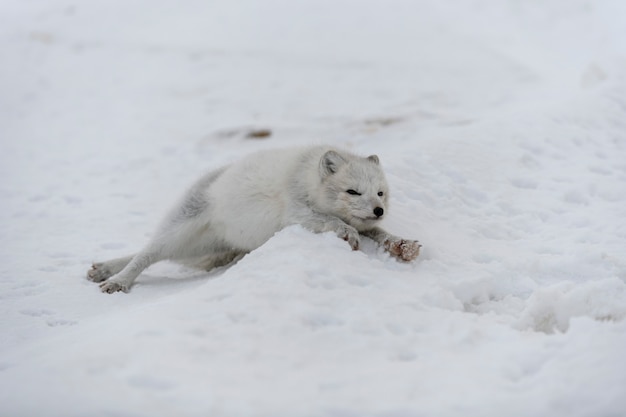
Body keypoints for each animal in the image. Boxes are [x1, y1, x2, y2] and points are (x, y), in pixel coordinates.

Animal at [88, 146, 420, 292]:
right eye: (353, 191)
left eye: (380, 193)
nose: (378, 210)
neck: (306, 177)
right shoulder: (296, 210)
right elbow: (339, 223)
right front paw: (348, 234)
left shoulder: (370, 224)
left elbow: (380, 234)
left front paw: (402, 245)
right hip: (180, 227)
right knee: (147, 253)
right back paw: (116, 280)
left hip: (203, 246)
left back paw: (104, 269)